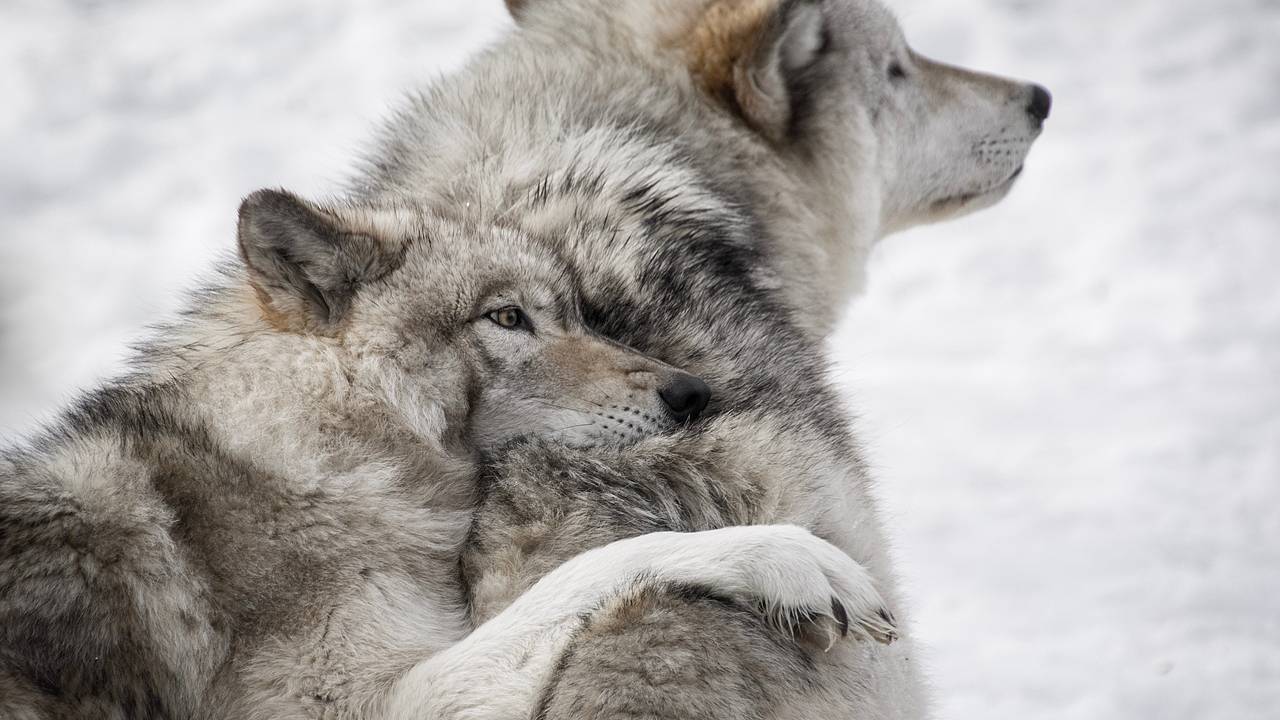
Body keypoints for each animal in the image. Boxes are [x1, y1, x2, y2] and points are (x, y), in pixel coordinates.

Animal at [0, 0, 1049, 712]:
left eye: (576, 309)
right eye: (900, 67)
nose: (1039, 95)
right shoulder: (366, 699)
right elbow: (610, 567)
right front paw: (788, 559)